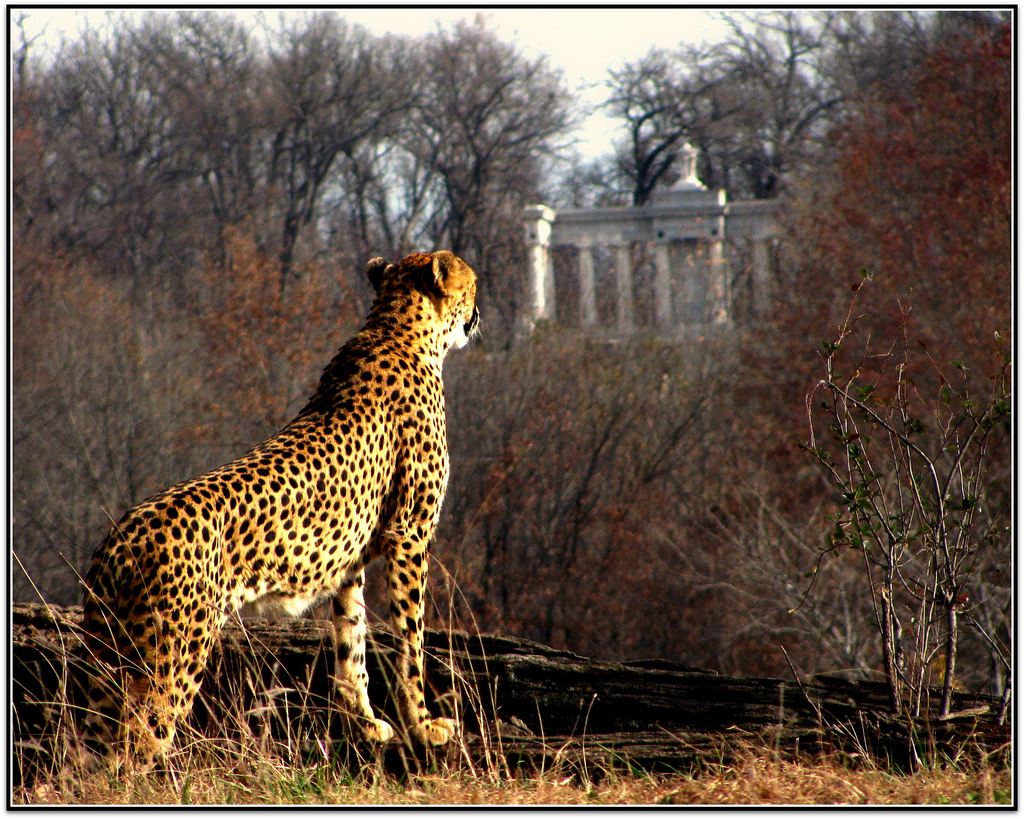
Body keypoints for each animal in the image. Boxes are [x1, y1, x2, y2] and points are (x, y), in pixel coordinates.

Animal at [79, 250, 479, 769]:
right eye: (473, 285)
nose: (479, 313)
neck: (398, 329)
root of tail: (122, 535)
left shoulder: (350, 561)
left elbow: (351, 642)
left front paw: (366, 725)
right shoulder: (410, 534)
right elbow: (411, 638)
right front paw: (426, 726)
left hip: (112, 653)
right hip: (172, 654)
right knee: (137, 742)